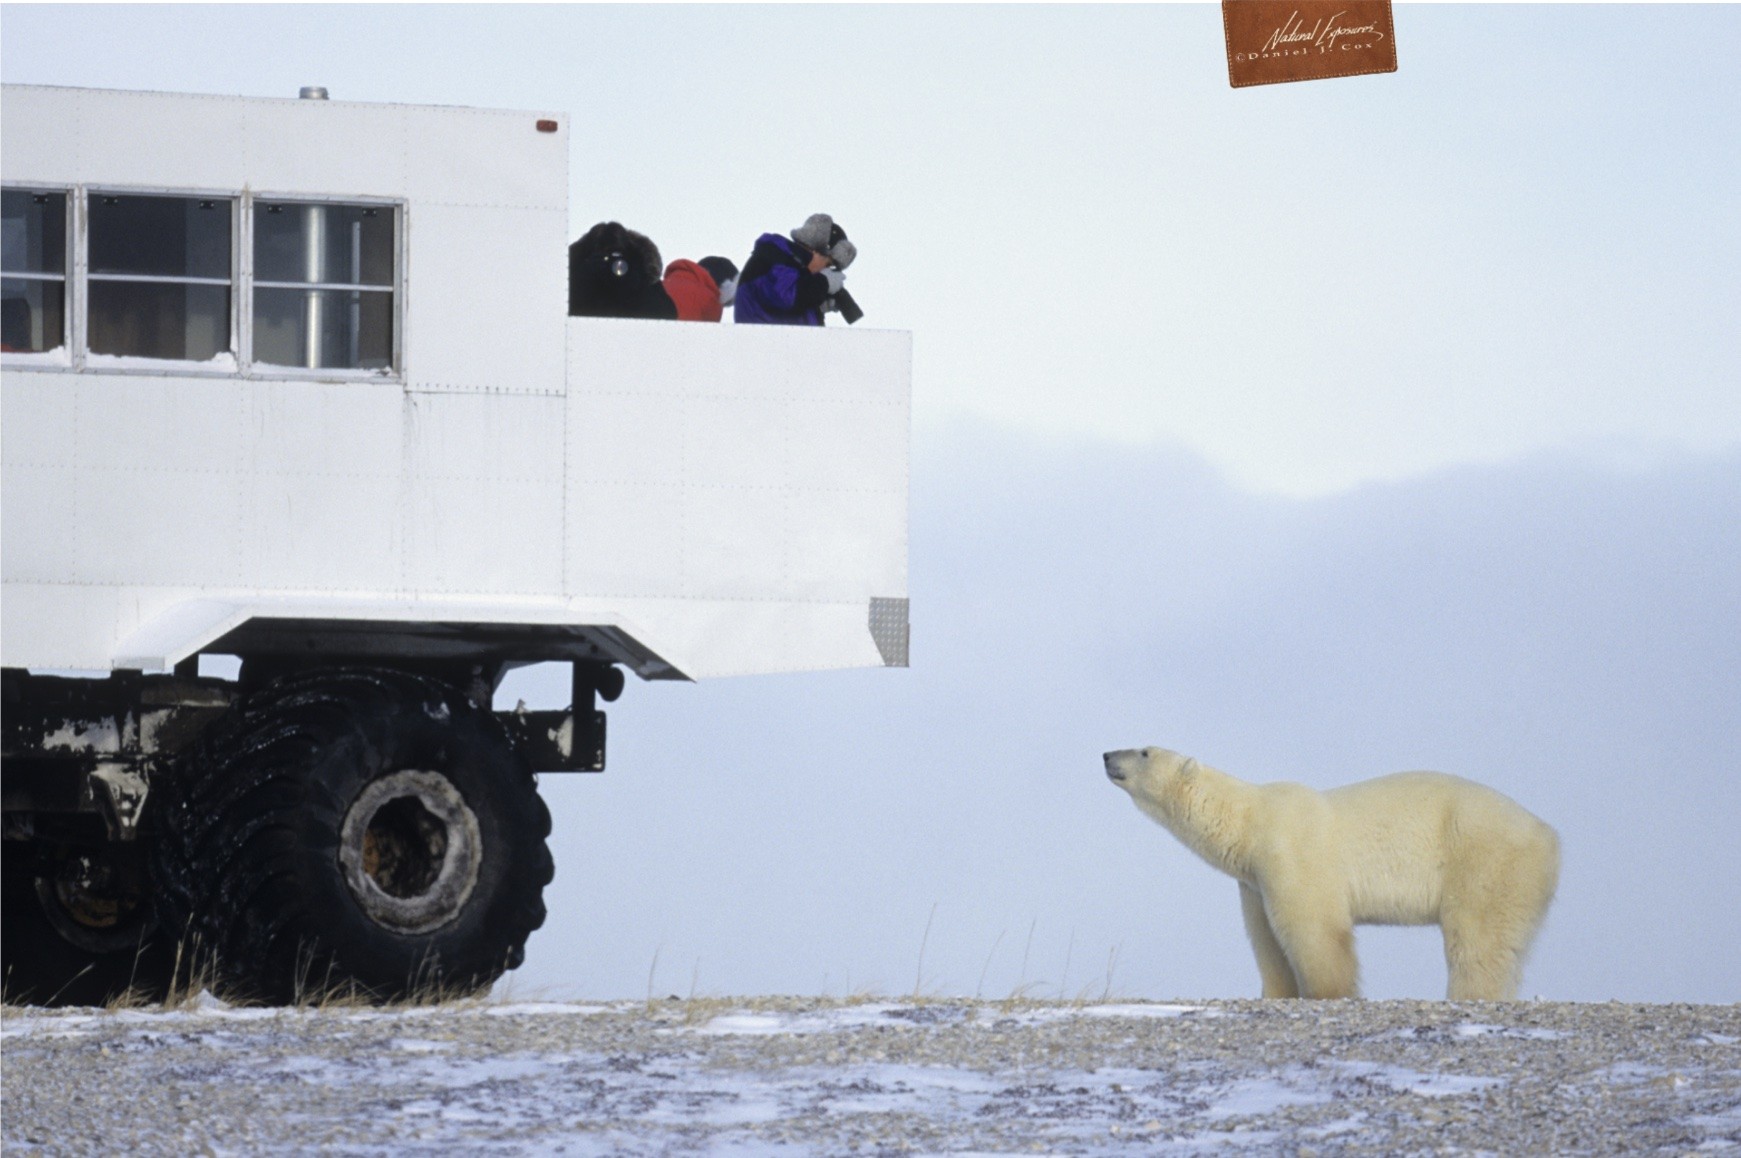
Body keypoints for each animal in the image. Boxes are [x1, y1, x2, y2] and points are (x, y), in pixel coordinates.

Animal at [1103, 747, 1559, 1001]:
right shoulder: (1253, 881)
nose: (1107, 756)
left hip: (1485, 859)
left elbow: (1314, 930)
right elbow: (1266, 941)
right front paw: (1275, 993)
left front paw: (1326, 992)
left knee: (1477, 939)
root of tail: (1549, 835)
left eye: (1145, 751)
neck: (1251, 820)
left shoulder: (1293, 852)